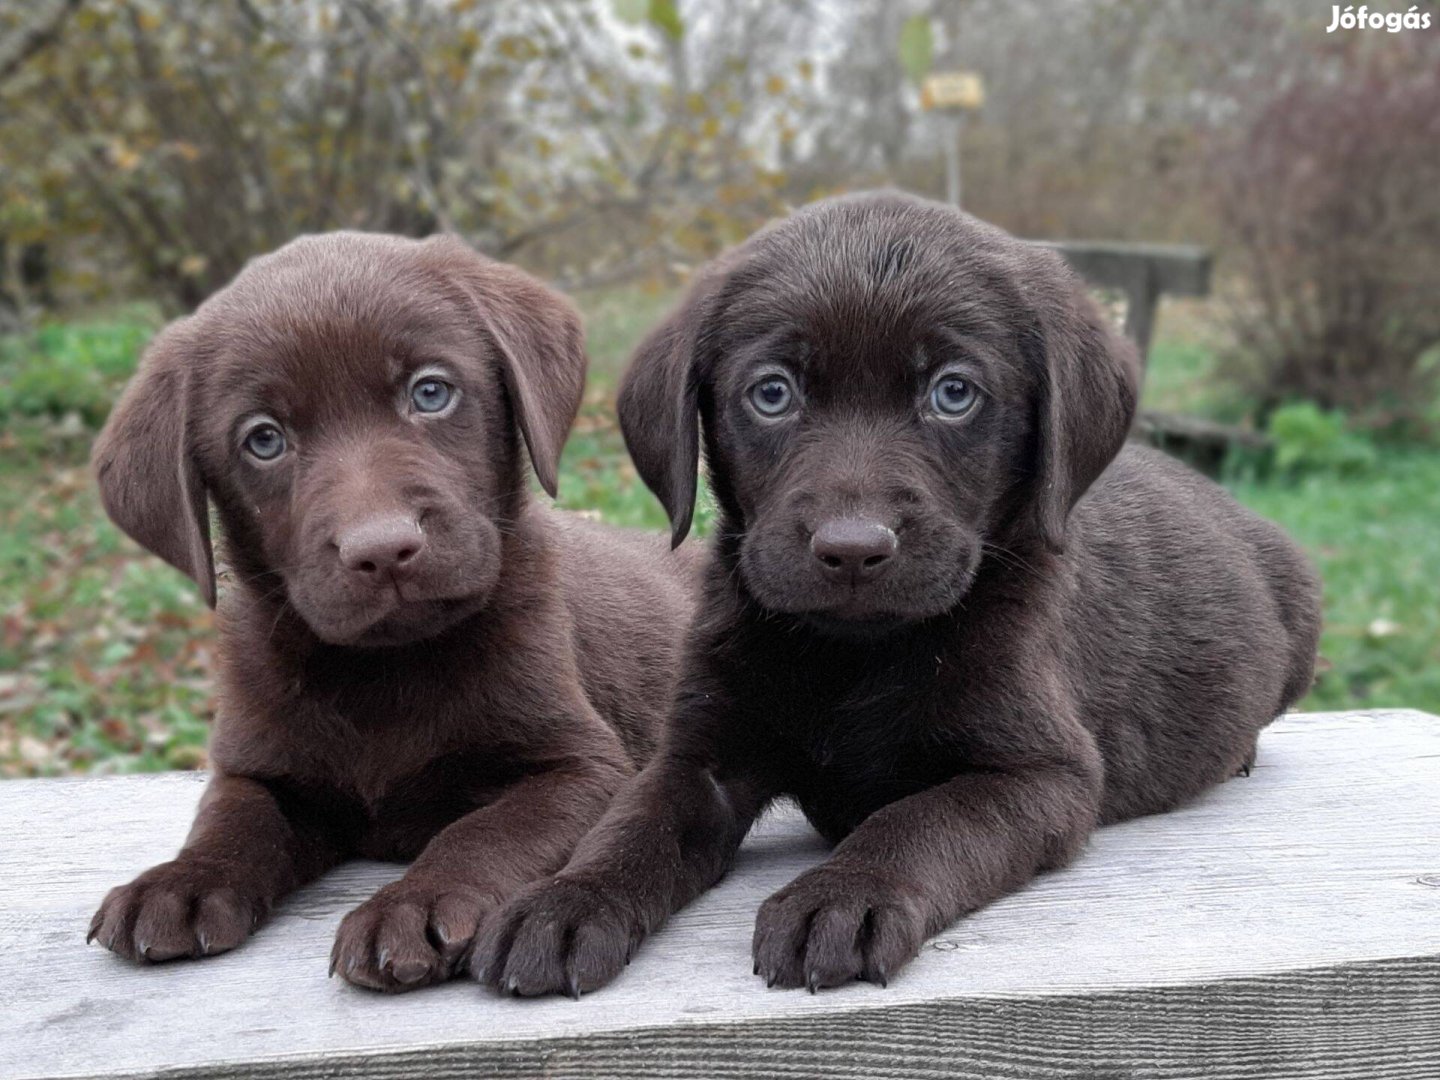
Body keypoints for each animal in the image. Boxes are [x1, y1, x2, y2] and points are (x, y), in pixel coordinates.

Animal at [84, 233, 696, 996]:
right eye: (263, 438)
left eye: (430, 392)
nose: (382, 548)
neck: (385, 670)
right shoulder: (258, 766)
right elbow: (232, 819)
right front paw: (179, 882)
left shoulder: (582, 766)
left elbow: (482, 831)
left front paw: (414, 906)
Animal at [469, 192, 1319, 996]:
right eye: (772, 394)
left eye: (953, 392)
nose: (852, 548)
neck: (852, 654)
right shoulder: (701, 752)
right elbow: (632, 825)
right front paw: (565, 902)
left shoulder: (1042, 773)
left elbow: (919, 819)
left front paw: (843, 895)